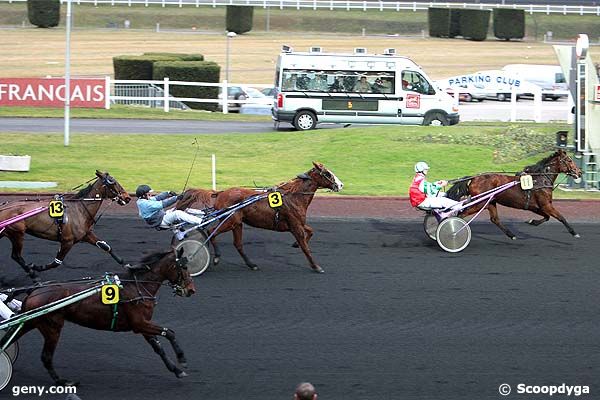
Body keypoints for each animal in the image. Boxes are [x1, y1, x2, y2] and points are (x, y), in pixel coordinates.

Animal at [0, 170, 131, 280]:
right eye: (113, 182)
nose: (127, 197)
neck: (79, 209)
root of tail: (4, 207)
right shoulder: (67, 241)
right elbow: (56, 262)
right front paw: (36, 267)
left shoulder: (86, 235)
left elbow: (106, 246)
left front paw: (127, 265)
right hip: (17, 233)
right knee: (16, 256)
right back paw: (32, 273)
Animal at [9, 248, 197, 386]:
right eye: (184, 267)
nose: (191, 290)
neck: (137, 287)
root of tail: (35, 289)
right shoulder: (139, 323)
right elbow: (170, 332)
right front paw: (182, 359)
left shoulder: (143, 324)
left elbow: (158, 348)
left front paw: (177, 370)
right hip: (52, 328)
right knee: (46, 357)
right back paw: (62, 381)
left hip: (30, 323)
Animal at [177, 162, 342, 272]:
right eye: (327, 173)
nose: (340, 185)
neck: (294, 196)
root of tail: (220, 193)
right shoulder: (295, 225)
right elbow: (305, 247)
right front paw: (316, 266)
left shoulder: (298, 223)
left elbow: (310, 231)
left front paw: (295, 244)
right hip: (230, 221)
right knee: (212, 232)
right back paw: (215, 256)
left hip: (237, 223)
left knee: (238, 244)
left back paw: (251, 264)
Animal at [446, 149, 580, 238]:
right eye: (569, 160)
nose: (579, 172)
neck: (540, 179)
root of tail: (474, 178)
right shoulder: (546, 205)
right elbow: (561, 217)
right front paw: (574, 232)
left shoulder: (535, 207)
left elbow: (547, 217)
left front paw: (532, 221)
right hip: (480, 203)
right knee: (461, 214)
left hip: (490, 202)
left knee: (495, 219)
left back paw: (511, 235)